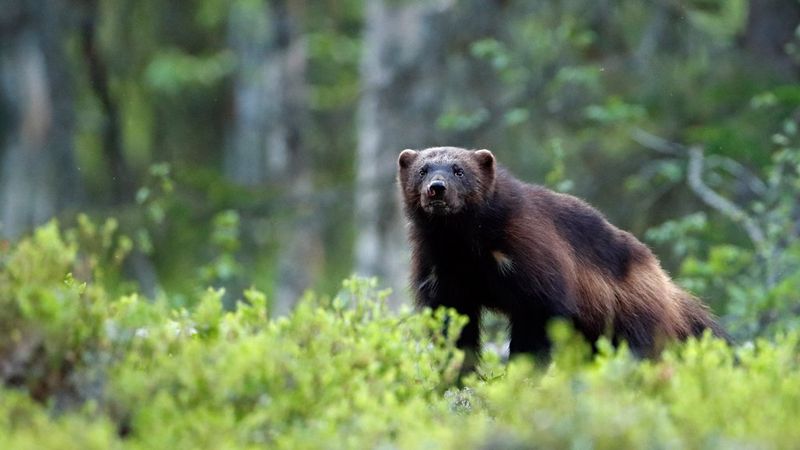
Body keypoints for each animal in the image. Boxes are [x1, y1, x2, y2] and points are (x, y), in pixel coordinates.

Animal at [397, 146, 728, 363]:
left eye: (459, 170)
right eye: (422, 170)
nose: (437, 188)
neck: (462, 243)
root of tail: (666, 282)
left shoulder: (531, 251)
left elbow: (540, 314)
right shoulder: (440, 267)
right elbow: (451, 325)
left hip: (633, 312)